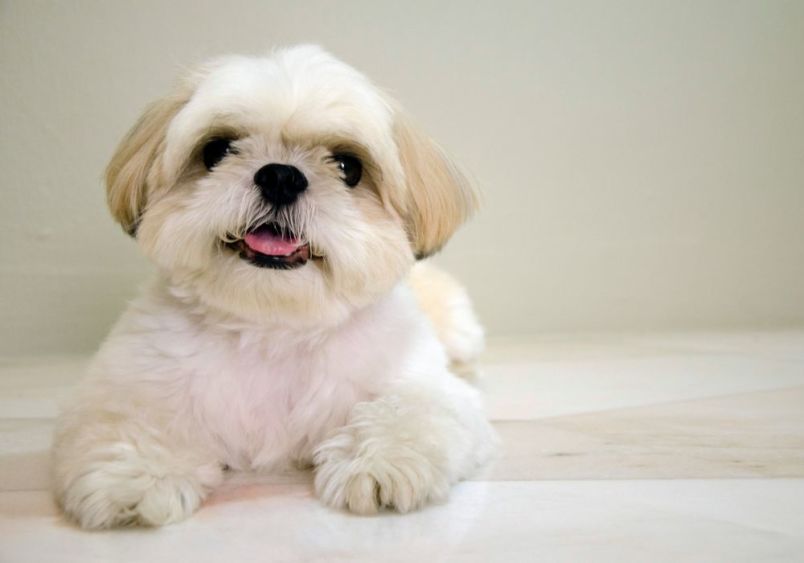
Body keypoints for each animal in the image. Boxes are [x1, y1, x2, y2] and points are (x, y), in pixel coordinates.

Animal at [51, 44, 496, 528]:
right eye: (217, 150)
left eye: (348, 166)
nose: (281, 175)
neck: (273, 328)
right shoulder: (133, 384)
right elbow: (130, 421)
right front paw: (133, 473)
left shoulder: (422, 386)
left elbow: (410, 410)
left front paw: (382, 460)